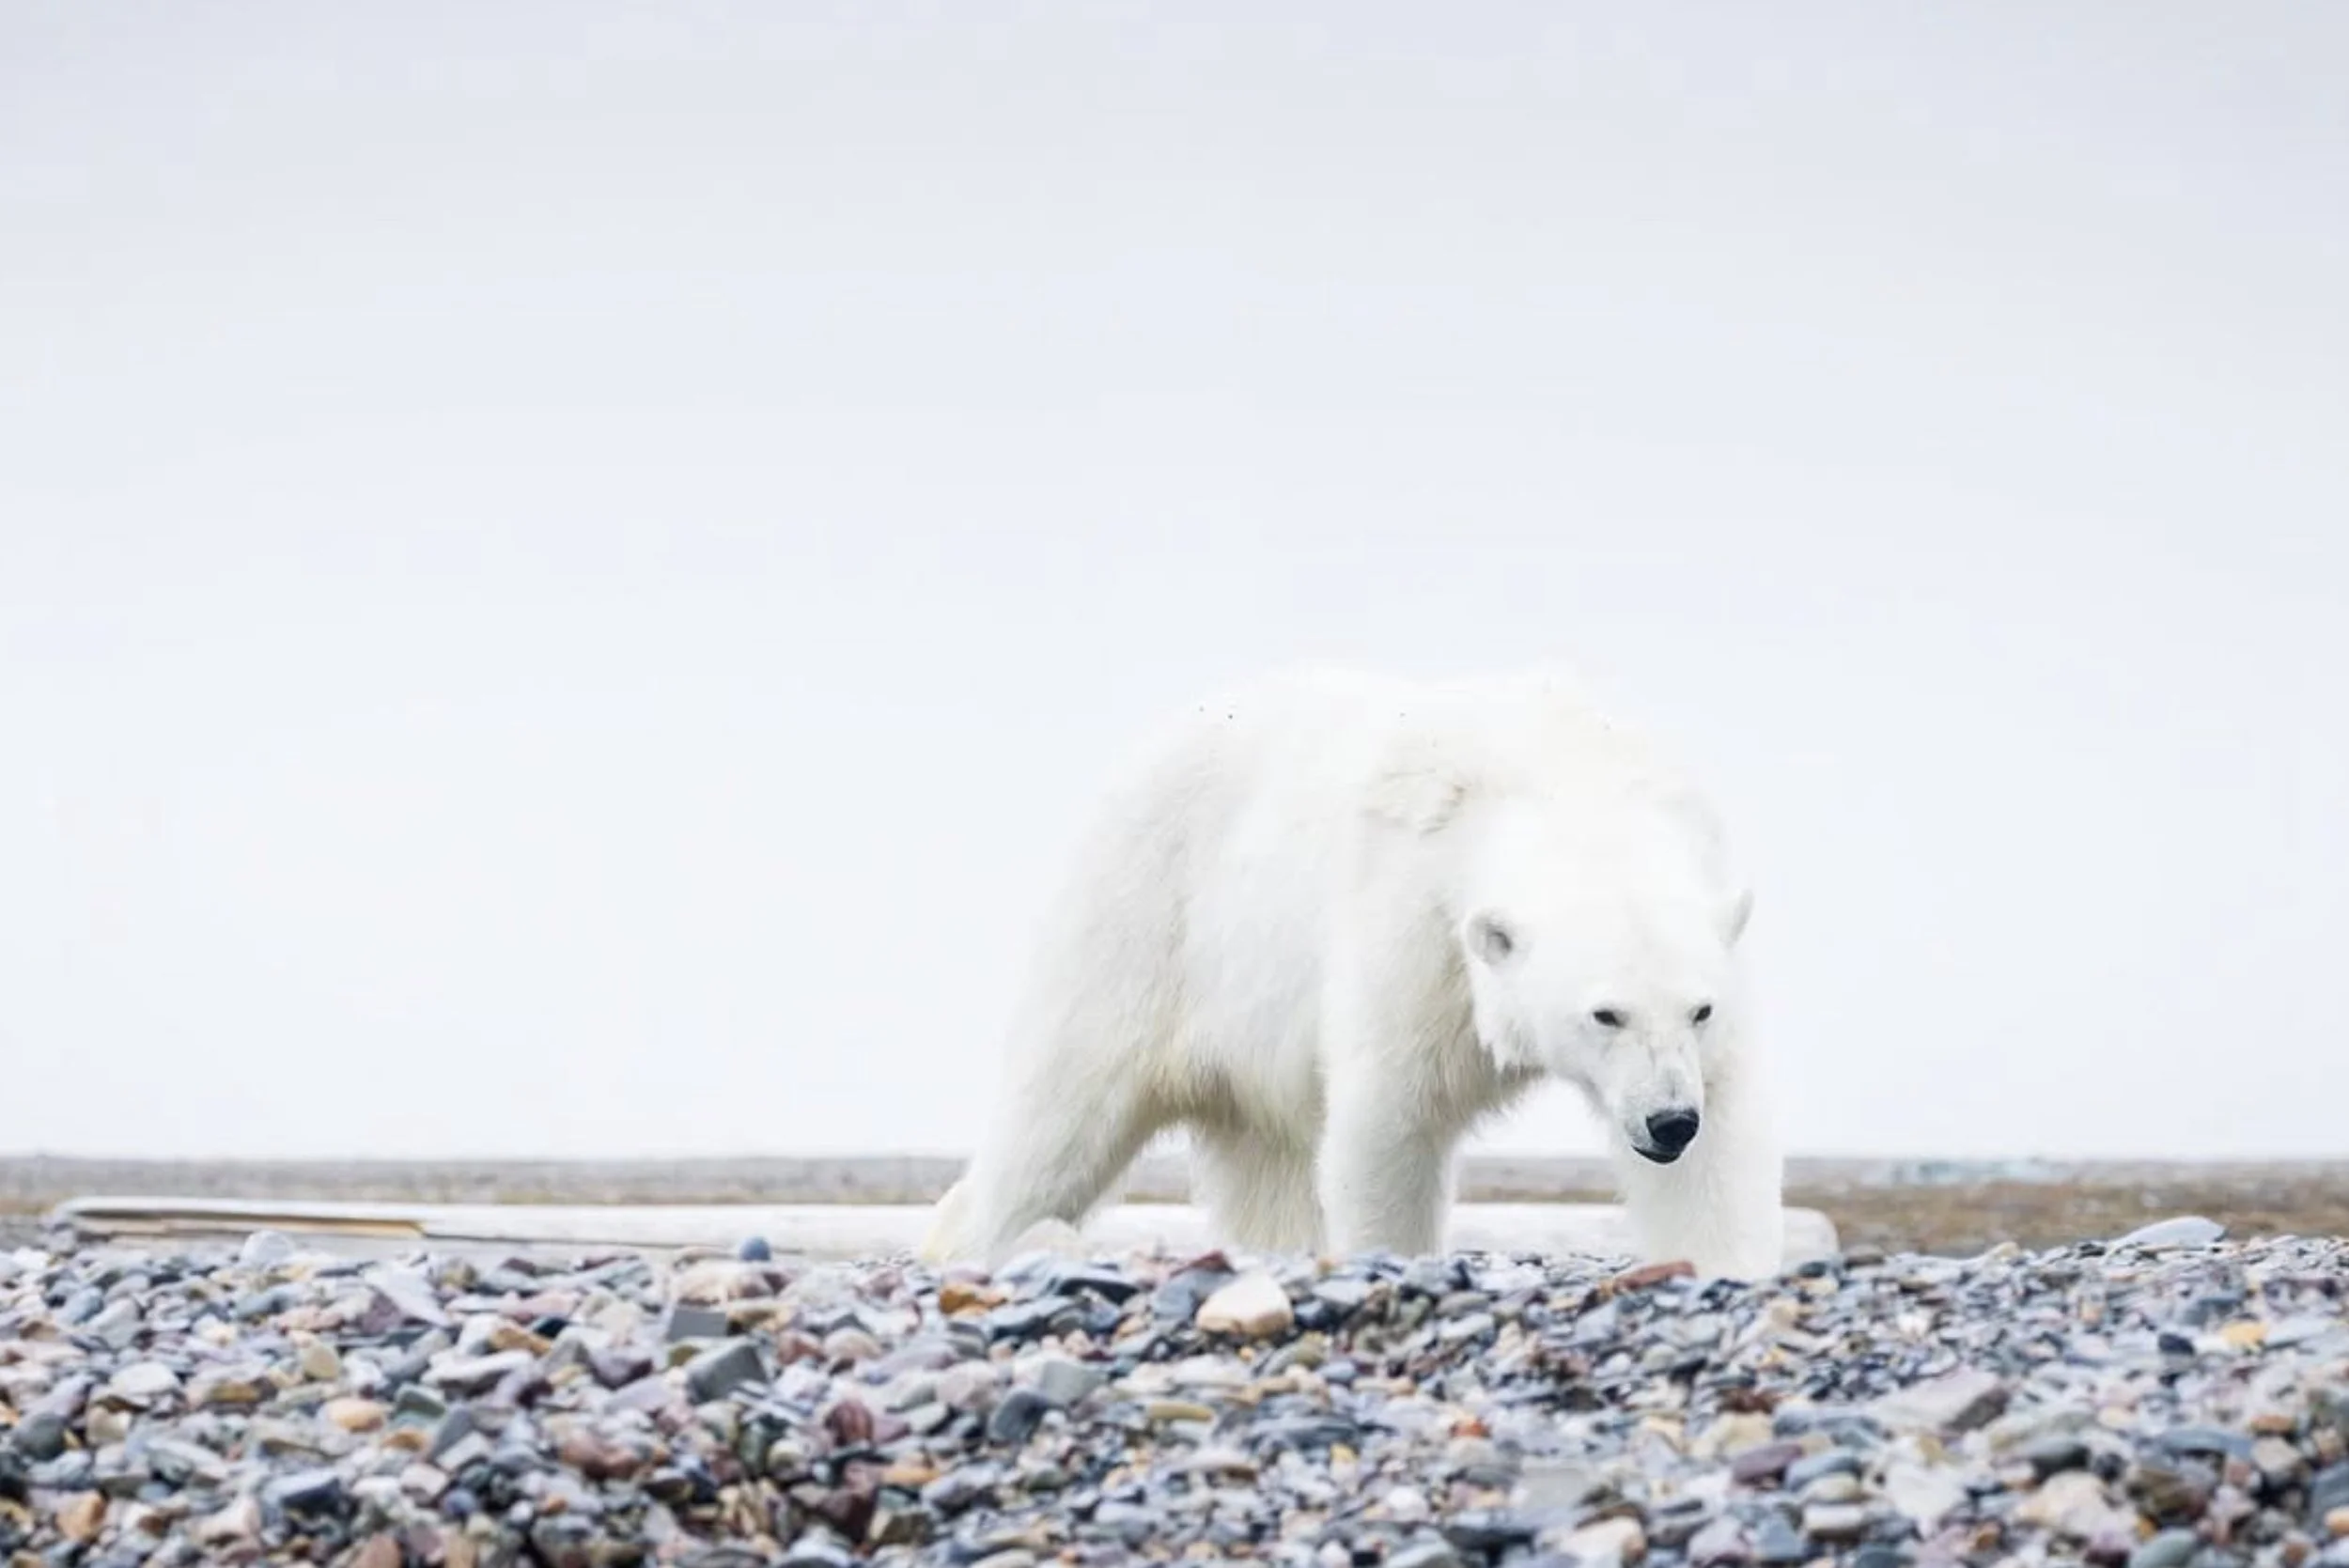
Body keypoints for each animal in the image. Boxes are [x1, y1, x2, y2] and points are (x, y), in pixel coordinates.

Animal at [919, 664, 1786, 1281]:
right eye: (1605, 1013)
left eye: (1699, 1010)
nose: (1668, 1120)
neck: (1563, 782)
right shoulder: (1416, 933)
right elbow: (1388, 1123)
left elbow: (1724, 1140)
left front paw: (1724, 1261)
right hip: (1142, 923)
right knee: (1061, 1115)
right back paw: (977, 1239)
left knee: (1263, 1162)